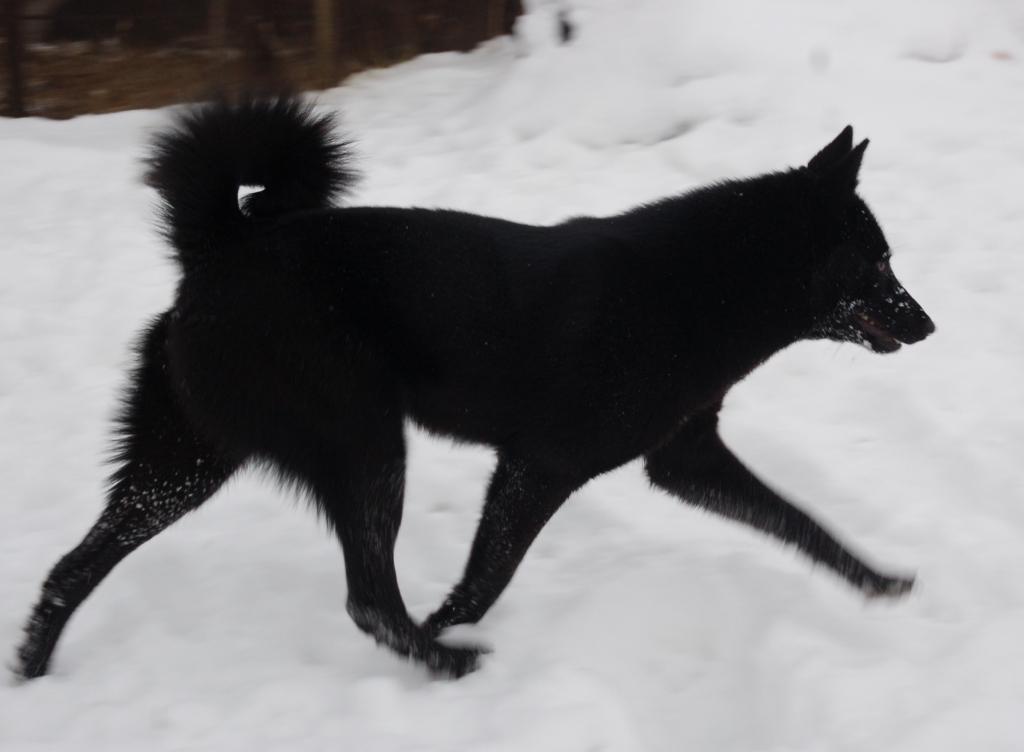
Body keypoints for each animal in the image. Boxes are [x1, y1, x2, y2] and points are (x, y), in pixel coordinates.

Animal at [15, 97, 935, 680]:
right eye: (879, 261)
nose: (928, 323)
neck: (704, 287)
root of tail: (219, 250)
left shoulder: (684, 458)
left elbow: (800, 520)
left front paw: (878, 581)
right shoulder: (539, 466)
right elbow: (485, 580)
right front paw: (448, 628)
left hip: (186, 462)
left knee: (71, 566)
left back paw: (32, 668)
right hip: (365, 450)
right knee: (367, 599)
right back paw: (443, 662)